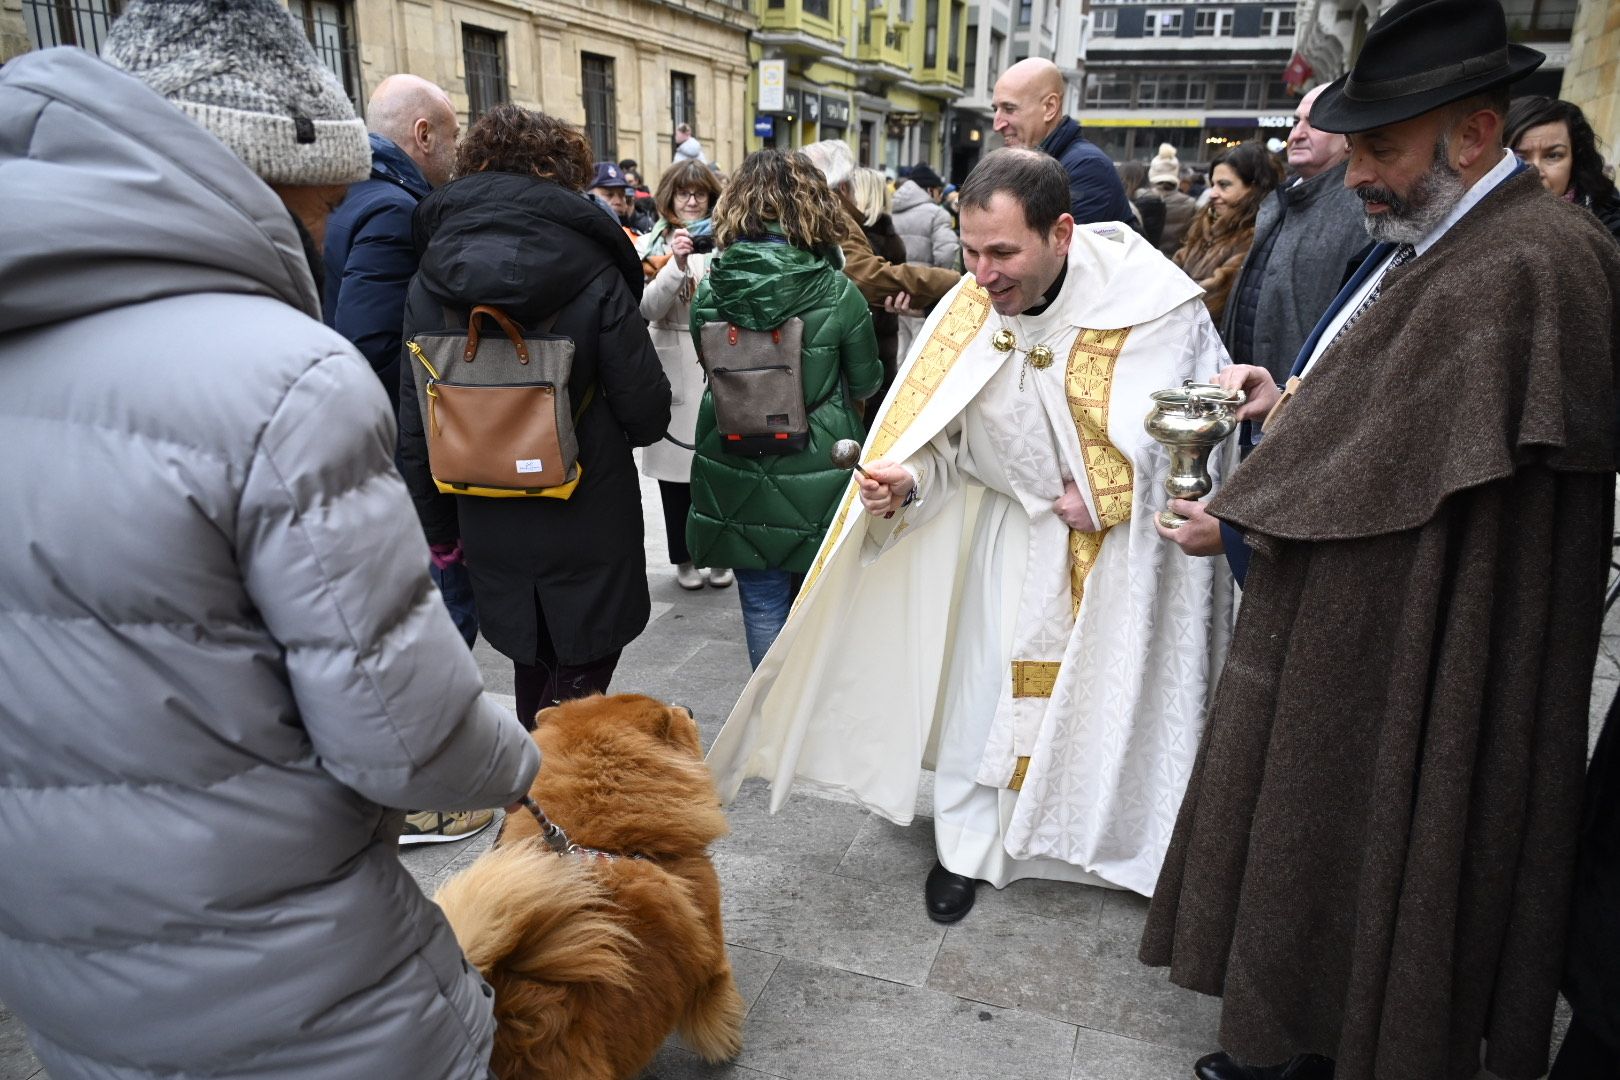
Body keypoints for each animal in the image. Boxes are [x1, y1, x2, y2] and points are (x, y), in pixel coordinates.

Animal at [434, 693, 741, 1080]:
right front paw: (727, 1043)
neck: (607, 841)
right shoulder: (711, 940)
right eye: (675, 718)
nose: (687, 709)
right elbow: (716, 995)